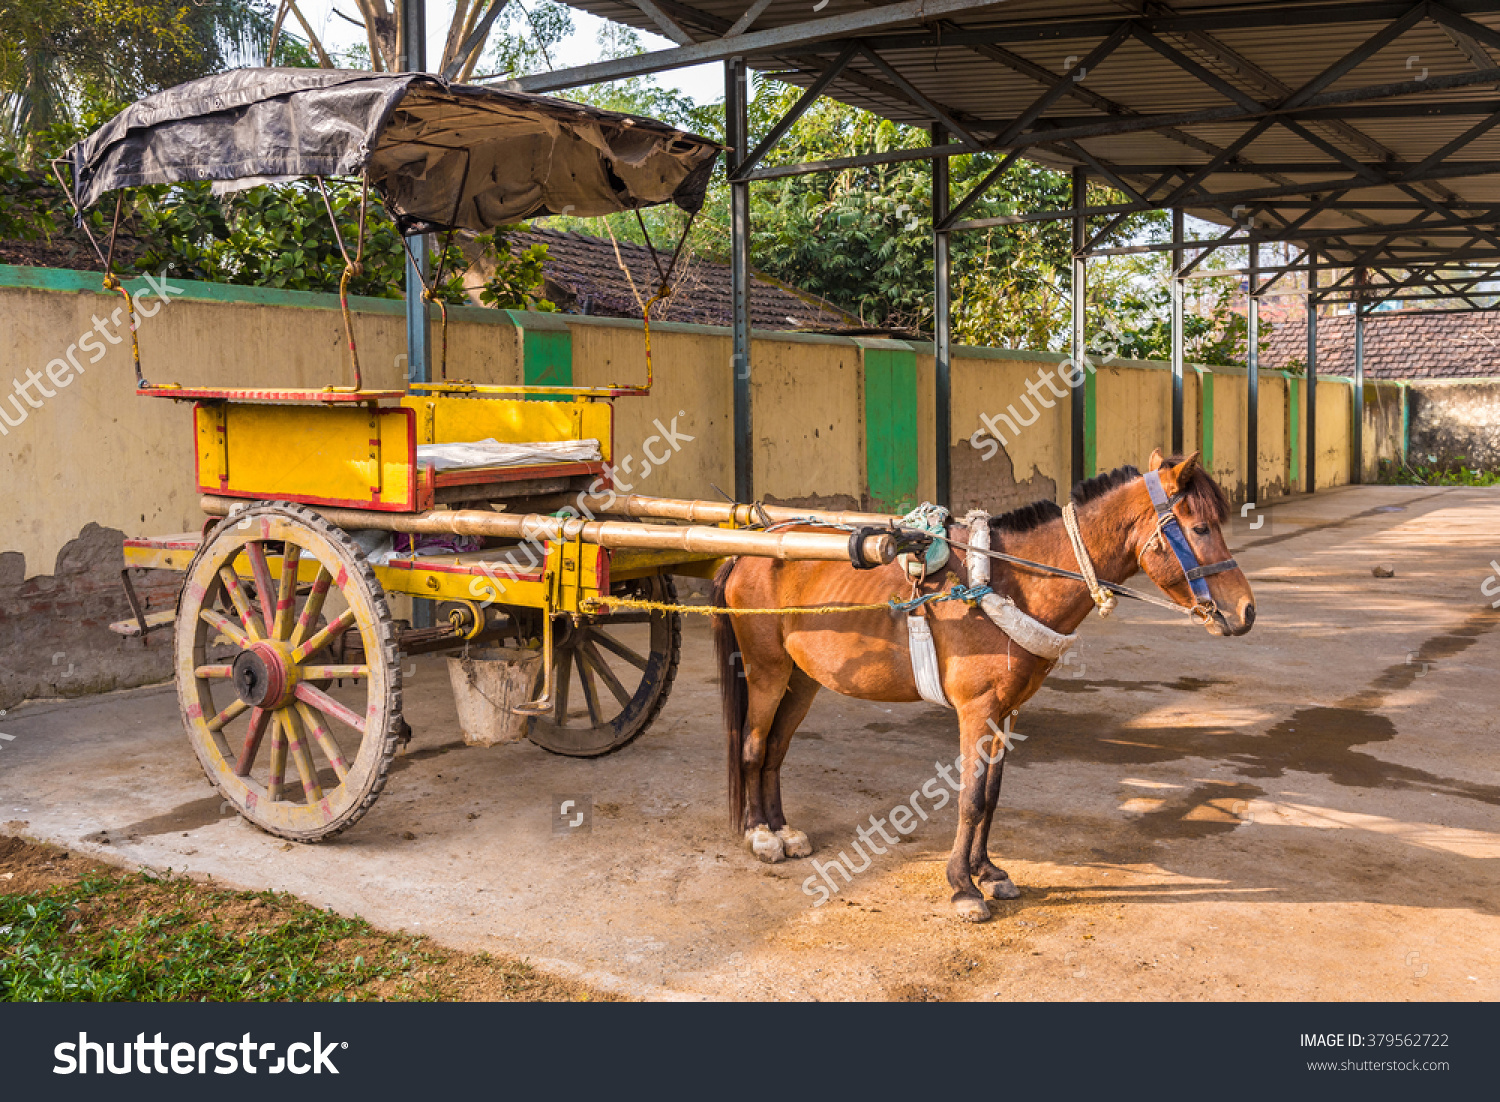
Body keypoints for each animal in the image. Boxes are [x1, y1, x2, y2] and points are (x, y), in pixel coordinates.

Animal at [711, 449, 1254, 923]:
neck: (1011, 582)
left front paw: (987, 871)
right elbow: (970, 799)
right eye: (1200, 528)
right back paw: (761, 835)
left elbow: (991, 796)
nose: (1247, 611)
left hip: (802, 679)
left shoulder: (1008, 711)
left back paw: (782, 829)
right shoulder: (977, 710)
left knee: (776, 747)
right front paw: (962, 887)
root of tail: (749, 550)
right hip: (766, 670)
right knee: (754, 746)